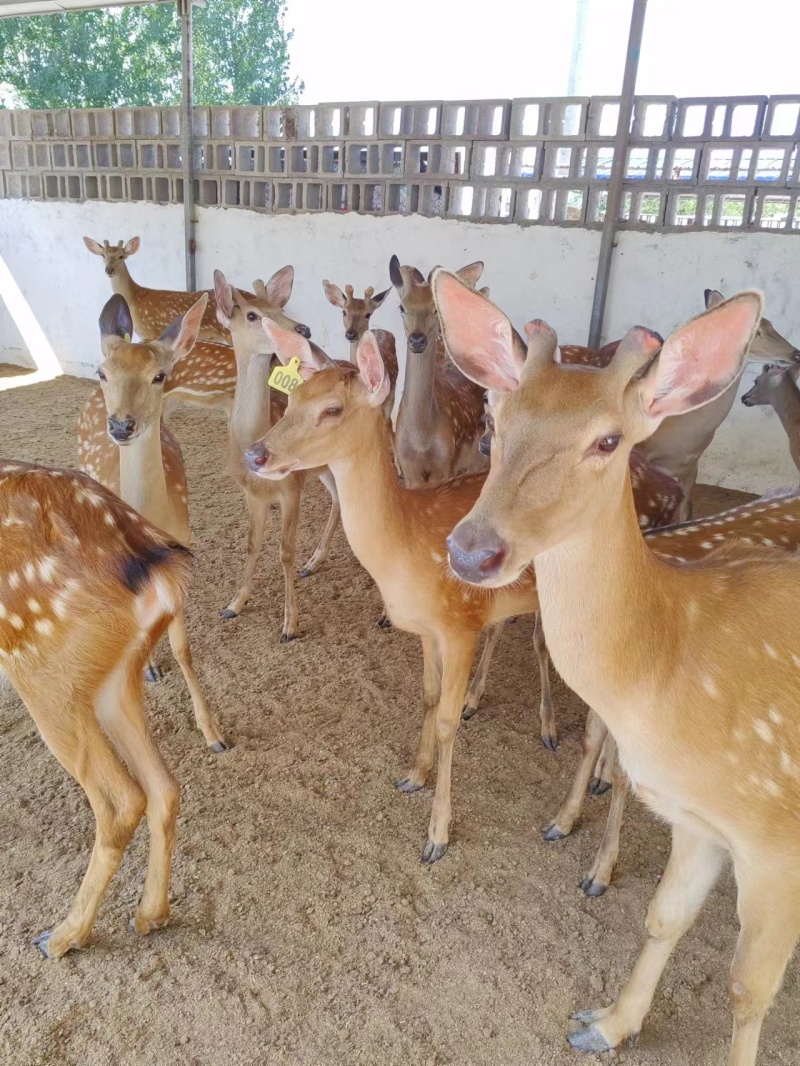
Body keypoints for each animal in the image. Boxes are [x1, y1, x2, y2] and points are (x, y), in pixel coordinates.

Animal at [0, 459, 190, 958]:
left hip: (43, 675)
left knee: (121, 799)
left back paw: (62, 936)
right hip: (115, 677)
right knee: (164, 787)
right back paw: (150, 915)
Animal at [212, 267, 342, 630]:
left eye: (280, 308)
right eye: (253, 314)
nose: (303, 329)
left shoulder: (291, 488)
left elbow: (285, 551)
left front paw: (290, 623)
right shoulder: (252, 494)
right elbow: (251, 544)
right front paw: (234, 604)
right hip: (324, 467)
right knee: (339, 499)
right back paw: (314, 562)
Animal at [242, 322, 682, 863]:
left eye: (333, 410)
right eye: (294, 395)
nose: (256, 453)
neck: (404, 550)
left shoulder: (459, 623)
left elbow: (450, 721)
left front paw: (437, 835)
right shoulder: (428, 630)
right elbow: (429, 697)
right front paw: (413, 774)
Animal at [389, 255, 489, 488]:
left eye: (435, 308)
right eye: (402, 307)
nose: (417, 340)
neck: (421, 441)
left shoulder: (444, 467)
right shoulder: (410, 473)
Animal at [439, 270, 800, 1066]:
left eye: (608, 440)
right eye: (493, 421)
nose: (472, 550)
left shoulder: (776, 838)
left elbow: (746, 989)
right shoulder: (697, 820)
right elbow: (663, 918)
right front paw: (606, 1023)